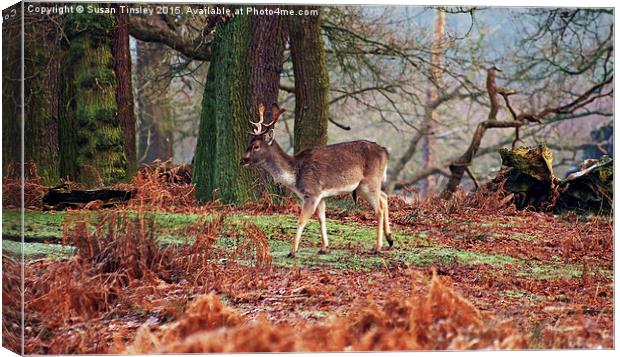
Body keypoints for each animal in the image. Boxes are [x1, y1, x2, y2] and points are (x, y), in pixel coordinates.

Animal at [241, 102, 392, 256]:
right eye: (249, 143)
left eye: (256, 146)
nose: (242, 160)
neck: (295, 176)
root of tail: (385, 152)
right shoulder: (321, 195)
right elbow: (321, 219)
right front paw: (324, 247)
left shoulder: (312, 192)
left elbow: (302, 220)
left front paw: (292, 251)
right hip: (366, 184)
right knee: (384, 197)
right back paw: (390, 239)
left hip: (369, 181)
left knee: (379, 209)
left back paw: (377, 247)